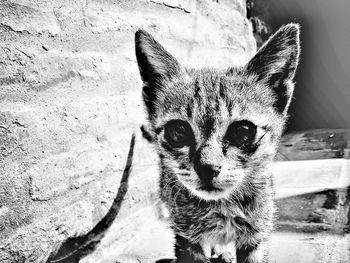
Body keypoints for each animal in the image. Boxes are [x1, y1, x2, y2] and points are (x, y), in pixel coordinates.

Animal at [135, 23, 300, 263]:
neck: (222, 206)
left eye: (242, 131)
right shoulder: (186, 237)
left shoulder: (255, 235)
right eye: (178, 131)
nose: (207, 167)